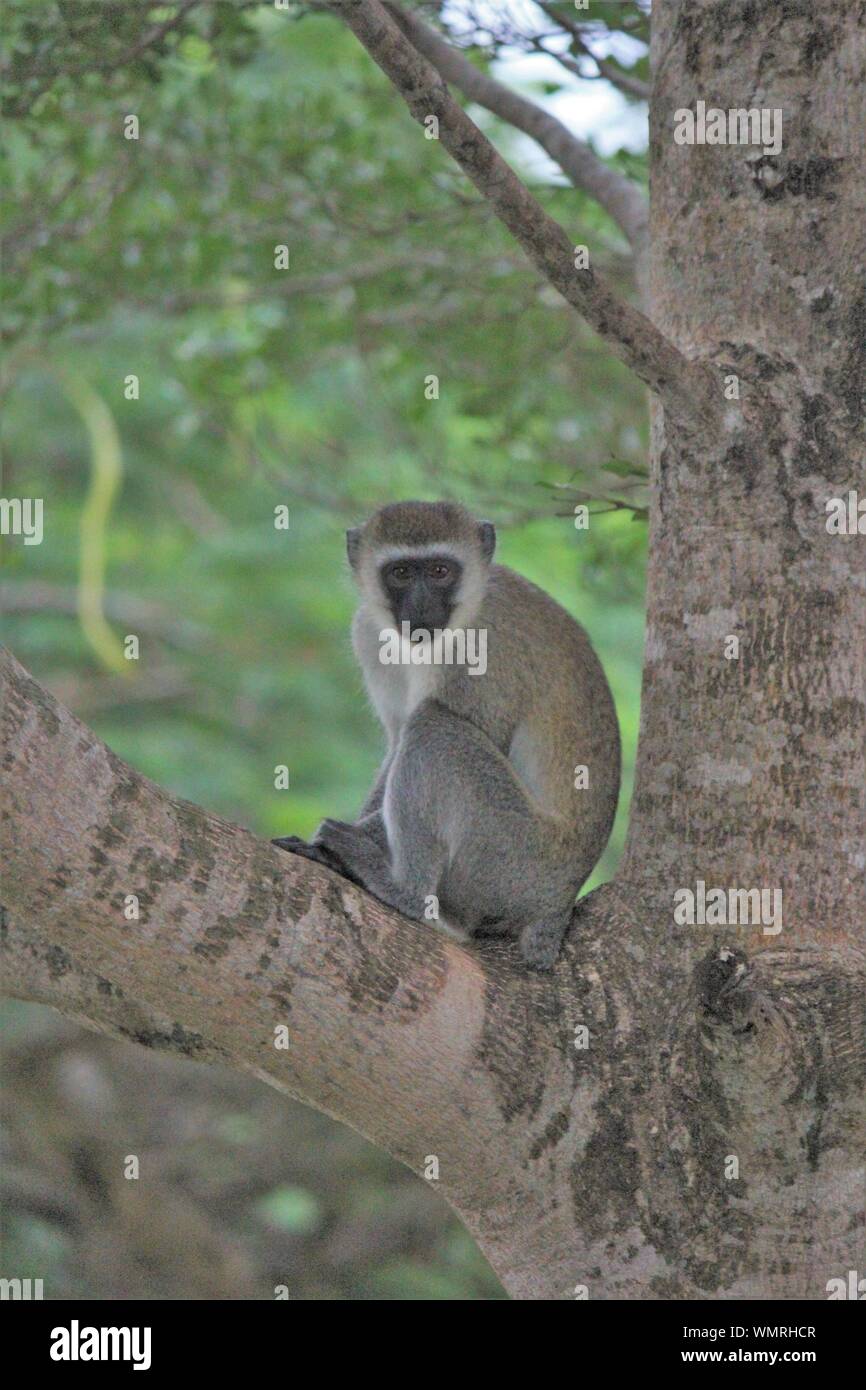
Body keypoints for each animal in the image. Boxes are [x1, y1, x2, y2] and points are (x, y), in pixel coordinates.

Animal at [273, 500, 619, 967]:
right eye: (401, 573)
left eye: (440, 571)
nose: (420, 607)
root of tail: (558, 904)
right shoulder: (366, 631)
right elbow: (395, 742)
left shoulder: (484, 649)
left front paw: (338, 848)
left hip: (514, 857)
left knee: (434, 729)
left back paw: (405, 891)